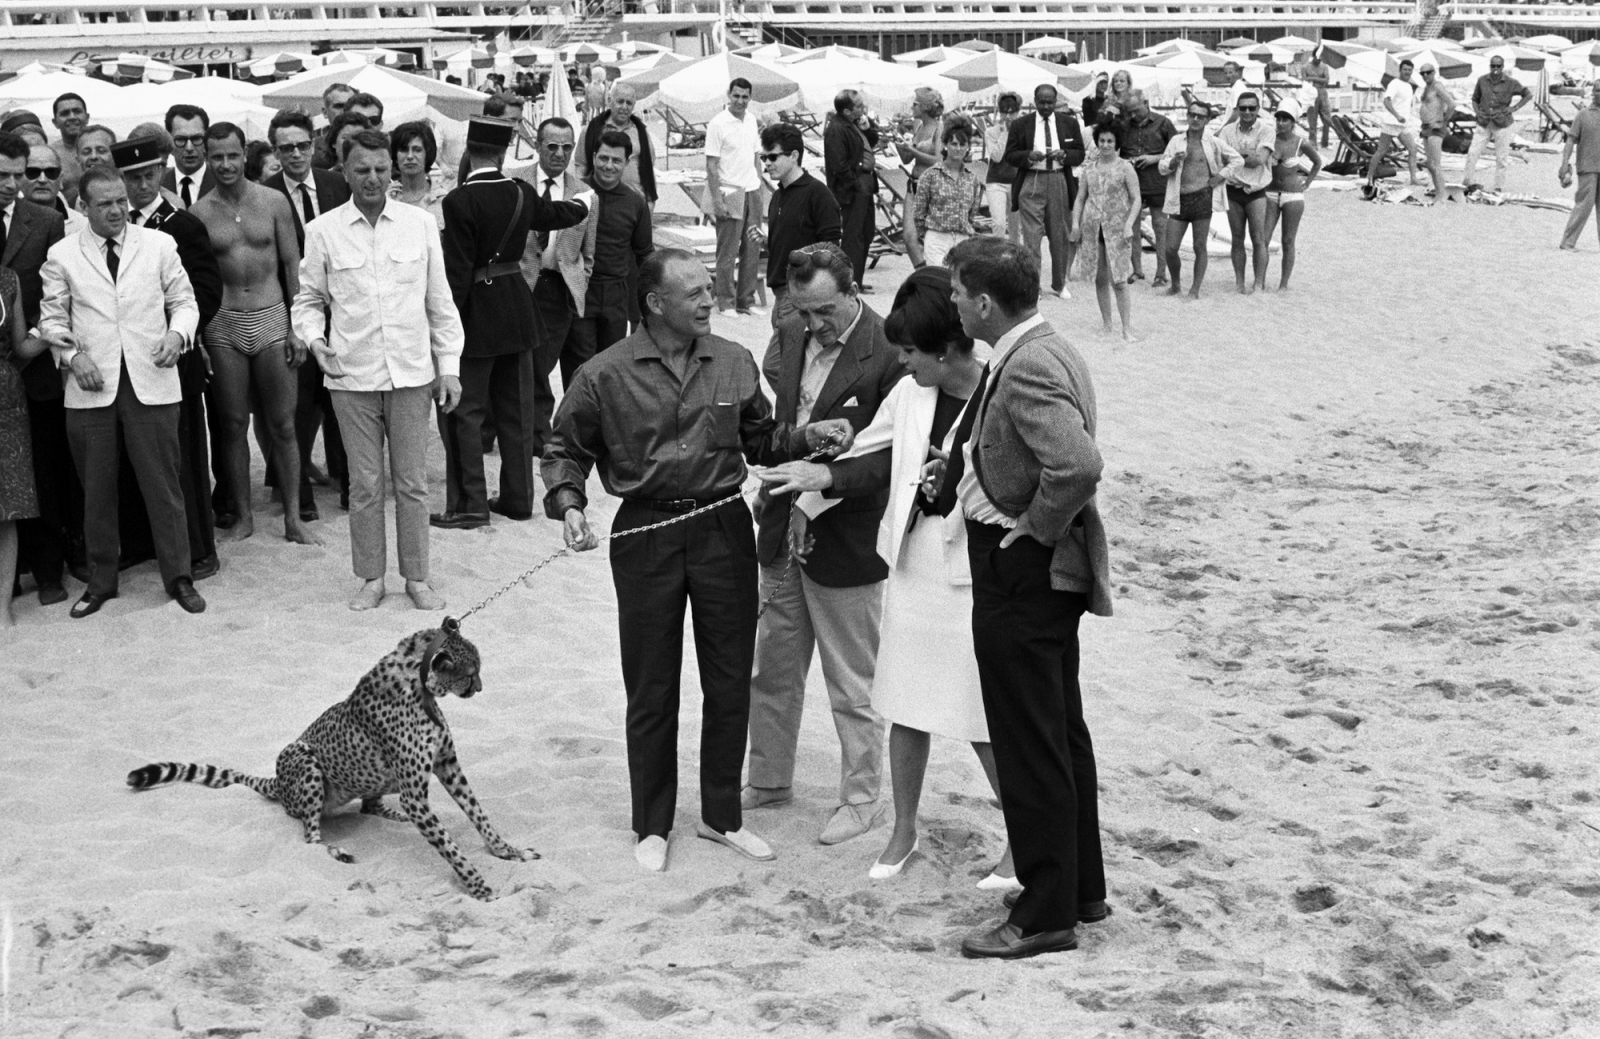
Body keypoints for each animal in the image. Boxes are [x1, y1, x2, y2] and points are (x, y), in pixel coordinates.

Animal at [126, 624, 537, 896]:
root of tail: (278, 783)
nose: (480, 688)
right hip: (302, 757)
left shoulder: (447, 765)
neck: (419, 686)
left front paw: (506, 850)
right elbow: (450, 846)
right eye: (471, 673)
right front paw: (478, 885)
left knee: (369, 805)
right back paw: (336, 851)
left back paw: (392, 816)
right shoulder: (416, 794)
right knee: (309, 838)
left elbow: (478, 813)